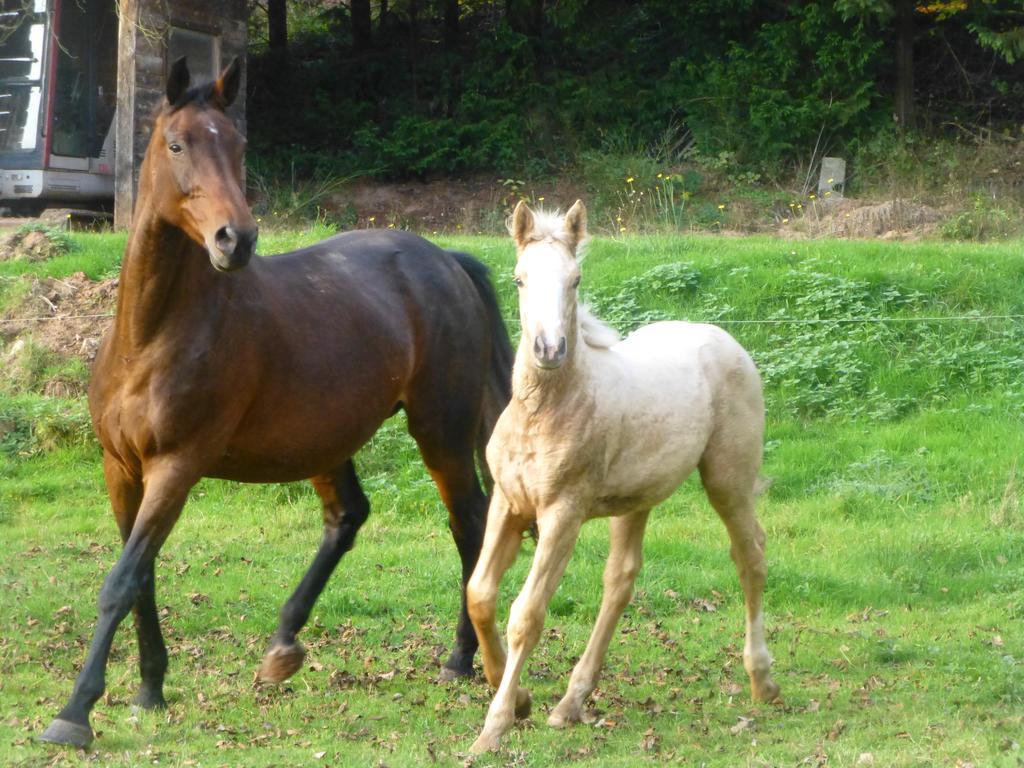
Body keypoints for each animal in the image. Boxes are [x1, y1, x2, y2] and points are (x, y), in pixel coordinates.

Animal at [38, 61, 512, 753]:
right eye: (177, 144)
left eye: (237, 146)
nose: (236, 239)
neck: (151, 336)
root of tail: (446, 261)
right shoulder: (120, 468)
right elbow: (140, 577)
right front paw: (150, 688)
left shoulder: (176, 468)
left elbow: (121, 582)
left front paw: (75, 712)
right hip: (327, 438)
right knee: (347, 517)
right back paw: (284, 644)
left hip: (440, 433)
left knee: (469, 523)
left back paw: (460, 659)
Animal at [468, 201, 778, 753]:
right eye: (519, 278)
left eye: (575, 279)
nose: (549, 349)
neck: (543, 412)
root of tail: (725, 339)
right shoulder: (508, 502)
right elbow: (479, 595)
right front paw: (519, 697)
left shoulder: (563, 514)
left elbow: (527, 613)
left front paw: (496, 724)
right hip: (636, 499)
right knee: (621, 579)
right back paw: (570, 702)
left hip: (728, 481)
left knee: (751, 556)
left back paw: (762, 679)